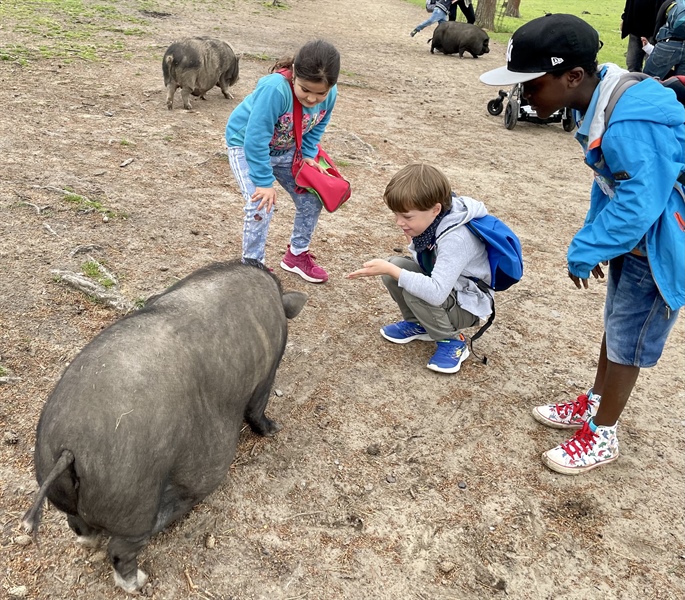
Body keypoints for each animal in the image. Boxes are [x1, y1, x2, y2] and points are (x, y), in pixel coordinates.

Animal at [22, 260, 304, 592]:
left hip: (57, 480)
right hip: (134, 499)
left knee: (78, 525)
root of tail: (69, 447)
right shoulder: (266, 375)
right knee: (121, 549)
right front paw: (276, 428)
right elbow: (257, 409)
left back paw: (90, 543)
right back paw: (139, 582)